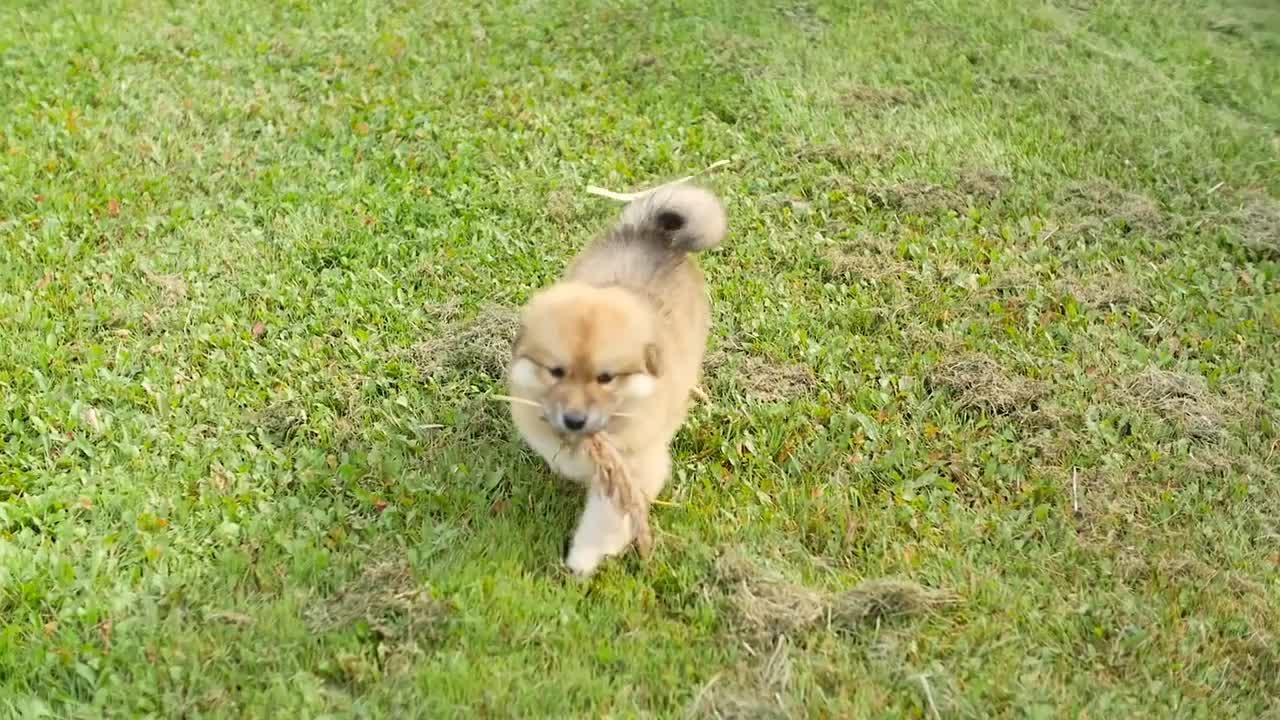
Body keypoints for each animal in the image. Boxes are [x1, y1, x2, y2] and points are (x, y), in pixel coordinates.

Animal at [509, 181, 732, 573]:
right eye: (556, 372)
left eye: (605, 378)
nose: (575, 419)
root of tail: (654, 233)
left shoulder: (633, 467)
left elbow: (605, 519)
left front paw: (583, 558)